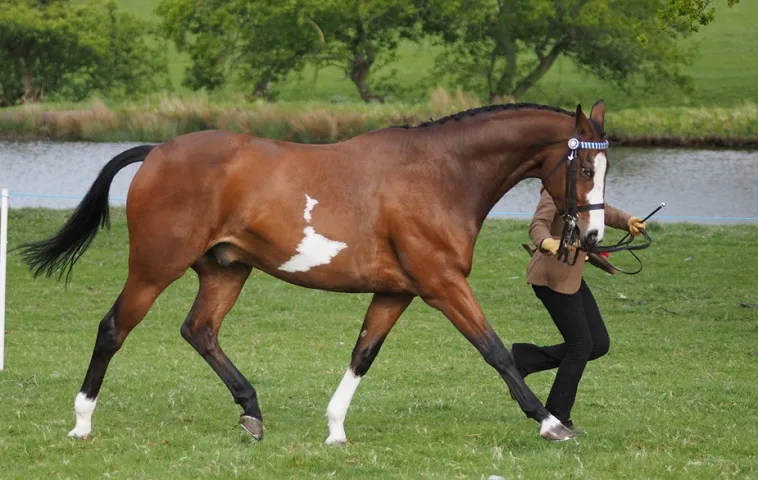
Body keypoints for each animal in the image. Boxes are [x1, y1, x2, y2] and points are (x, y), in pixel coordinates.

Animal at [19, 99, 612, 444]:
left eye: (606, 166)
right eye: (585, 166)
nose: (593, 239)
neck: (439, 174)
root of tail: (158, 150)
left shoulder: (397, 292)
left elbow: (363, 354)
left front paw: (334, 430)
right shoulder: (443, 284)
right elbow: (493, 350)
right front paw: (550, 422)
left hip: (226, 271)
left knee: (200, 331)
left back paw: (252, 412)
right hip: (153, 268)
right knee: (113, 329)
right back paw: (82, 421)